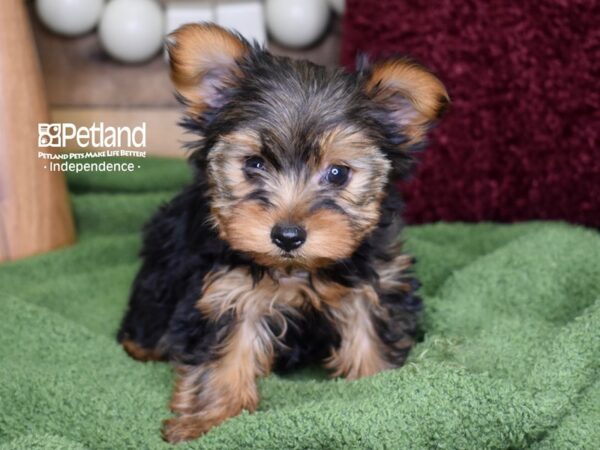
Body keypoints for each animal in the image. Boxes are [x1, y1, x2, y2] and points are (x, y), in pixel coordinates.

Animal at [116, 22, 446, 442]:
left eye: (337, 173)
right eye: (254, 164)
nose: (288, 236)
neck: (296, 269)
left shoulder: (374, 284)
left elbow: (370, 337)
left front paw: (380, 388)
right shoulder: (226, 293)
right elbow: (223, 357)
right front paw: (210, 419)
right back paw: (141, 345)